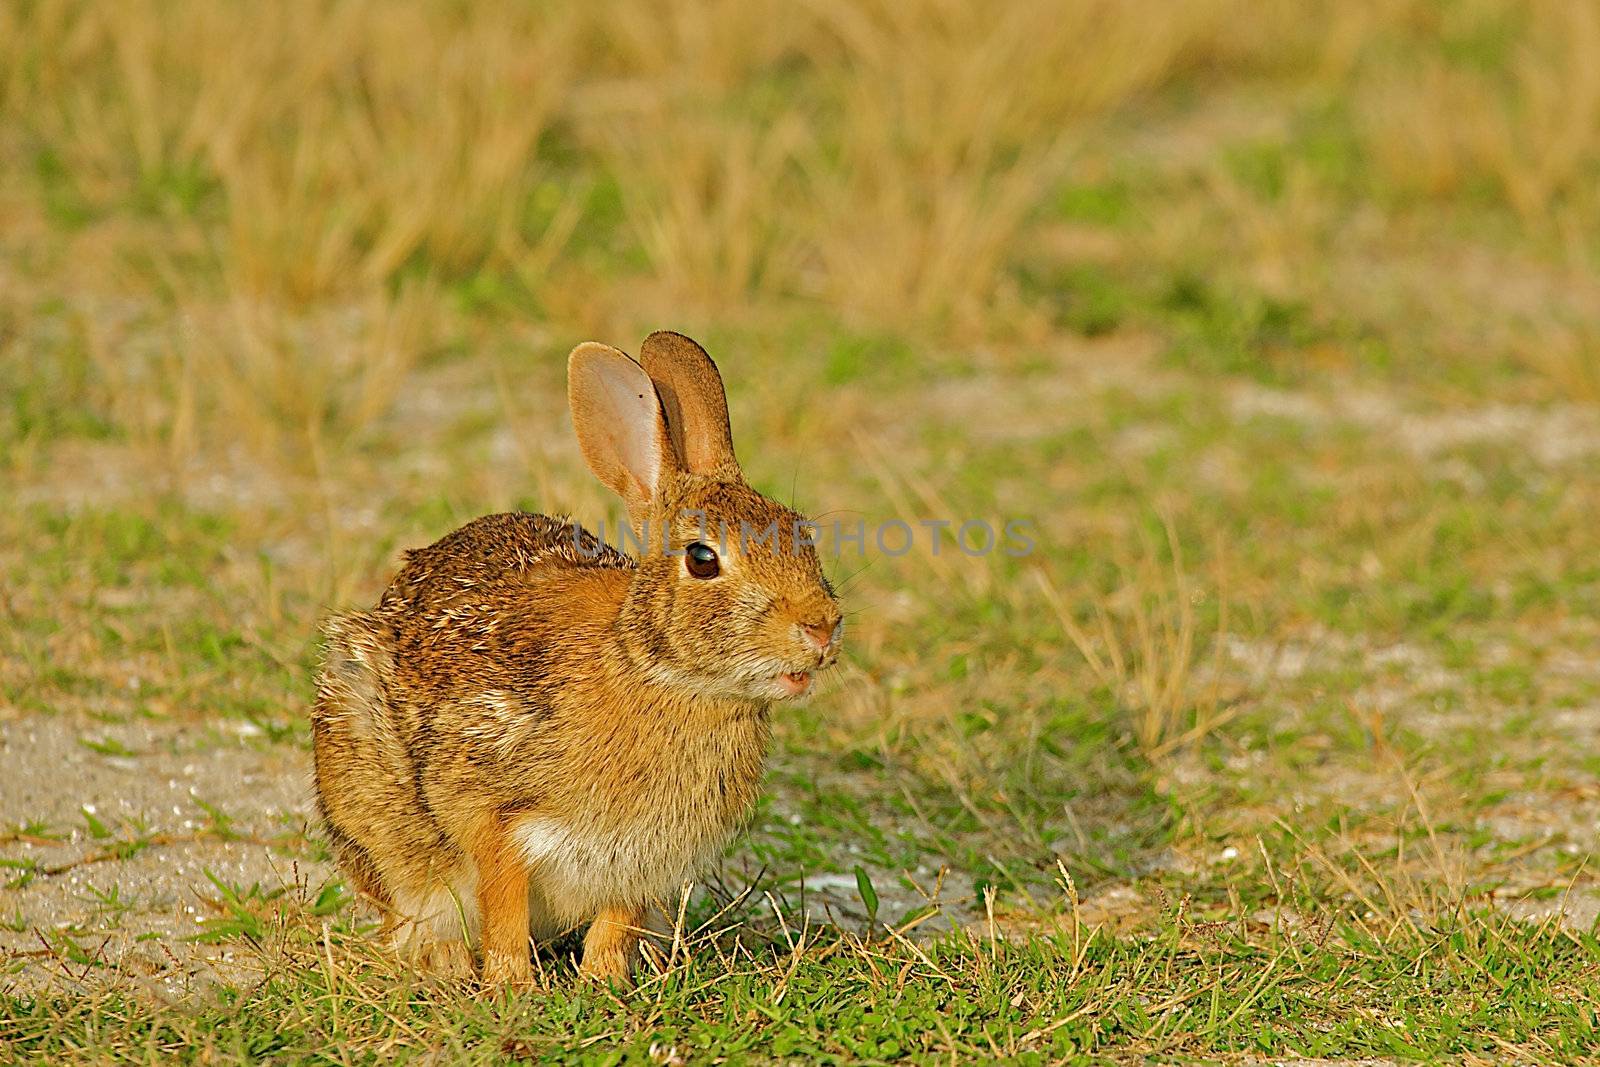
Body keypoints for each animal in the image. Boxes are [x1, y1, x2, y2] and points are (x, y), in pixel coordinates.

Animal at [304, 329, 844, 991]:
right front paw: (512, 986)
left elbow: (615, 921)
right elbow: (503, 905)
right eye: (702, 559)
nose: (822, 628)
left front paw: (606, 985)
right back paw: (444, 961)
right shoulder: (495, 813)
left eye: (803, 535)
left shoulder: (640, 863)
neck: (654, 670)